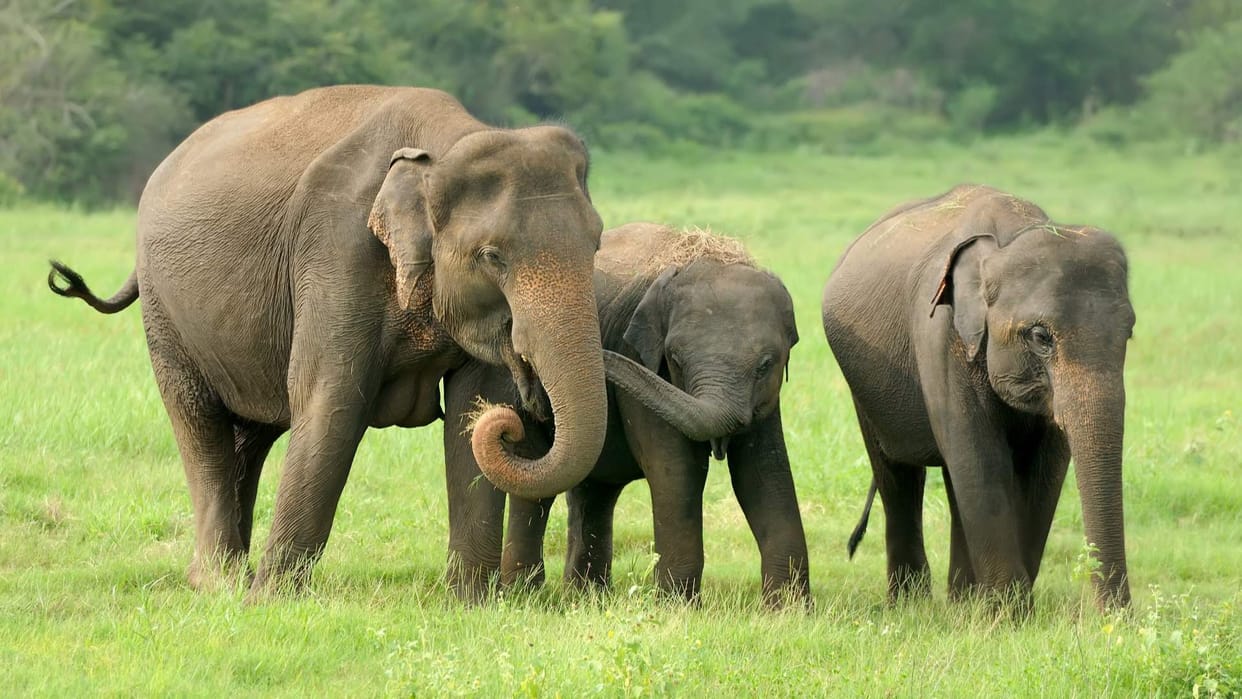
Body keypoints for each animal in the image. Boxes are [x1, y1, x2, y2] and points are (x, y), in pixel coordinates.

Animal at [46, 85, 609, 599]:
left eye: (596, 242)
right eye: (492, 257)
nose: (526, 416)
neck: (448, 140)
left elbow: (475, 406)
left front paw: (468, 603)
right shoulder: (335, 249)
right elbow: (330, 401)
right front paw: (269, 602)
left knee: (249, 438)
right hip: (165, 315)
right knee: (199, 424)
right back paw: (221, 583)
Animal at [443, 222, 810, 606]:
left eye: (766, 364)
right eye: (675, 359)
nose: (526, 358)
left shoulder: (768, 401)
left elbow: (763, 473)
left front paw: (788, 611)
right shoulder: (645, 369)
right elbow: (677, 472)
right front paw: (677, 608)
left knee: (594, 490)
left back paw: (587, 598)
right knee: (538, 486)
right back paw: (527, 595)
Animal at [822, 184, 1134, 612]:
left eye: (1129, 333)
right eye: (1041, 336)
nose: (1119, 619)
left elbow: (1044, 472)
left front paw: (1002, 608)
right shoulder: (941, 337)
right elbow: (981, 460)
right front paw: (1008, 614)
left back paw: (961, 602)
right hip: (864, 388)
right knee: (897, 472)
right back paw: (912, 606)